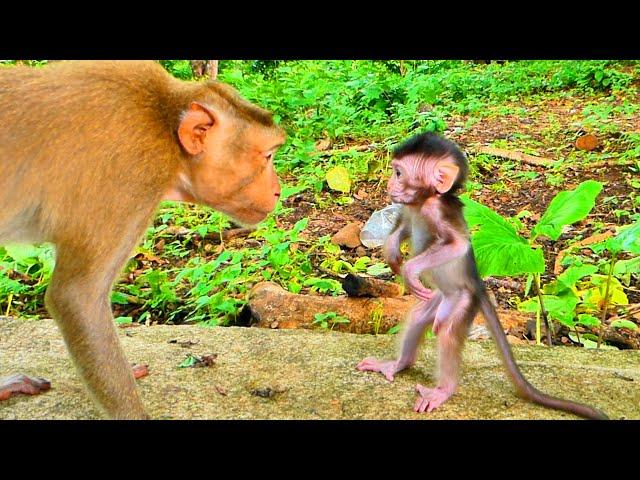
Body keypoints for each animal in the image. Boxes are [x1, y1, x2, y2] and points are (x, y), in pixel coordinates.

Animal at [358, 132, 608, 420]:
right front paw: (391, 252)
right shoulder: (410, 210)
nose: (389, 184)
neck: (425, 200)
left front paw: (410, 270)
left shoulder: (437, 211)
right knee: (420, 317)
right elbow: (405, 228)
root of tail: (478, 286)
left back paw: (443, 390)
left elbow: (457, 245)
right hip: (438, 299)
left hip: (464, 300)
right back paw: (397, 364)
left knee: (447, 331)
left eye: (398, 173)